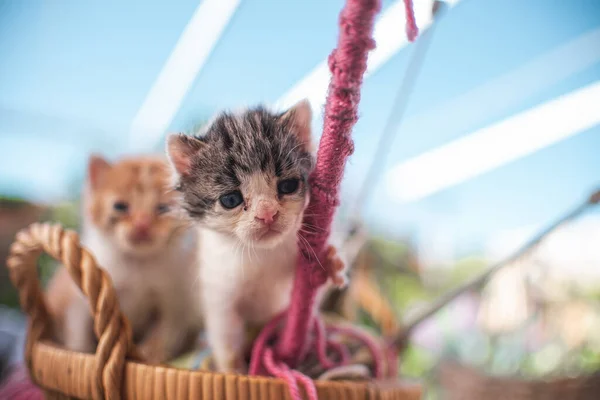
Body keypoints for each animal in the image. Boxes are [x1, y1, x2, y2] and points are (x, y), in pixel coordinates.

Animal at [46, 153, 202, 362]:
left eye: (163, 208)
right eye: (120, 206)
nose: (142, 224)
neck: (137, 263)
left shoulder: (173, 302)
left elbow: (164, 331)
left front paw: (152, 355)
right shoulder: (77, 299)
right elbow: (78, 330)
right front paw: (81, 352)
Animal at [169, 99, 346, 372]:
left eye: (288, 186)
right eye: (231, 199)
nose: (267, 214)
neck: (261, 255)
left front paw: (327, 263)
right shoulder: (219, 290)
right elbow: (225, 334)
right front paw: (233, 372)